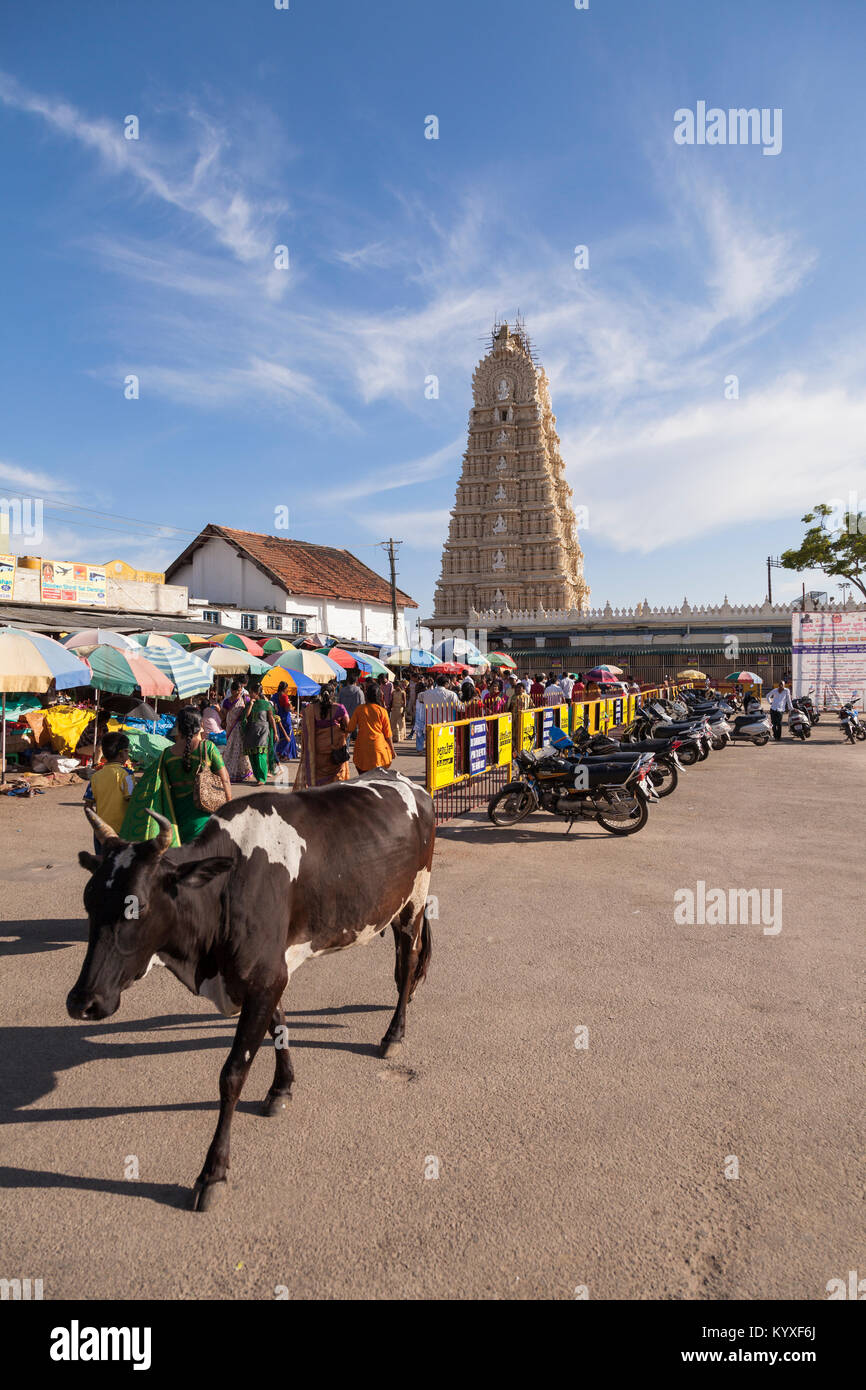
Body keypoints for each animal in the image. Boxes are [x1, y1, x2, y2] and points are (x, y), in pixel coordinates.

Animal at [68, 767, 436, 1212]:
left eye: (137, 904)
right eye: (88, 900)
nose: (82, 1002)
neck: (225, 889)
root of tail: (403, 778)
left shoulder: (264, 976)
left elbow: (232, 1075)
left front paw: (212, 1173)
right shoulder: (270, 972)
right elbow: (279, 1027)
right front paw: (281, 1088)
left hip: (413, 902)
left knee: (408, 964)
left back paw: (394, 1033)